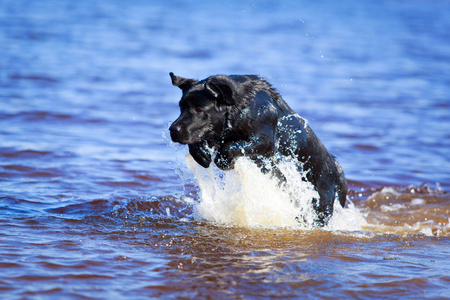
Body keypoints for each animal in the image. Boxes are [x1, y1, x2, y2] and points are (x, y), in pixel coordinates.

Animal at [169, 71, 348, 224]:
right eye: (181, 107)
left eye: (199, 109)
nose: (173, 129)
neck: (241, 106)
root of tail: (336, 169)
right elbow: (197, 143)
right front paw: (201, 155)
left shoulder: (266, 141)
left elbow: (228, 148)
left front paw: (223, 161)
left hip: (321, 204)